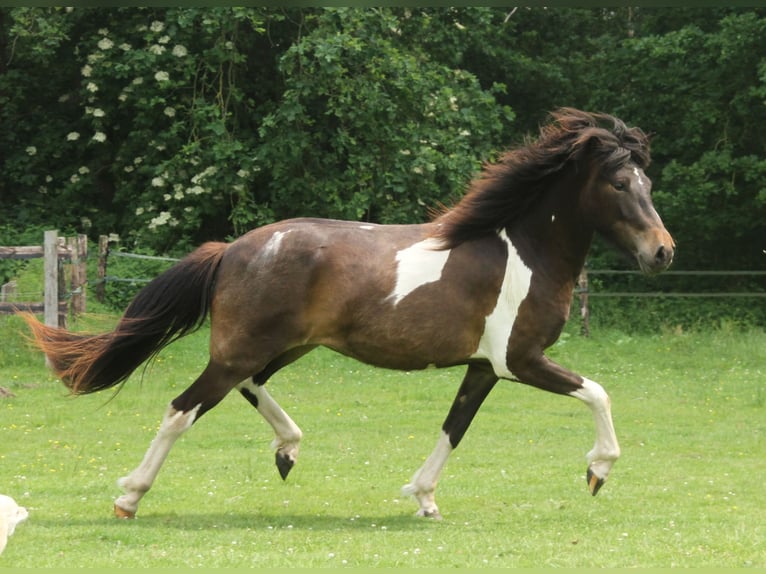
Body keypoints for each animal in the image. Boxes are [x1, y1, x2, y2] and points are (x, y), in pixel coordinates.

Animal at [22, 108, 674, 520]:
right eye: (620, 183)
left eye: (647, 182)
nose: (663, 253)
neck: (524, 253)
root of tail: (232, 249)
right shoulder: (520, 360)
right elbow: (598, 393)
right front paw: (597, 472)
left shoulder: (483, 368)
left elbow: (454, 428)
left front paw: (423, 497)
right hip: (242, 350)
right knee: (182, 409)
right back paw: (129, 497)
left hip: (283, 346)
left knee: (248, 388)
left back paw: (287, 451)